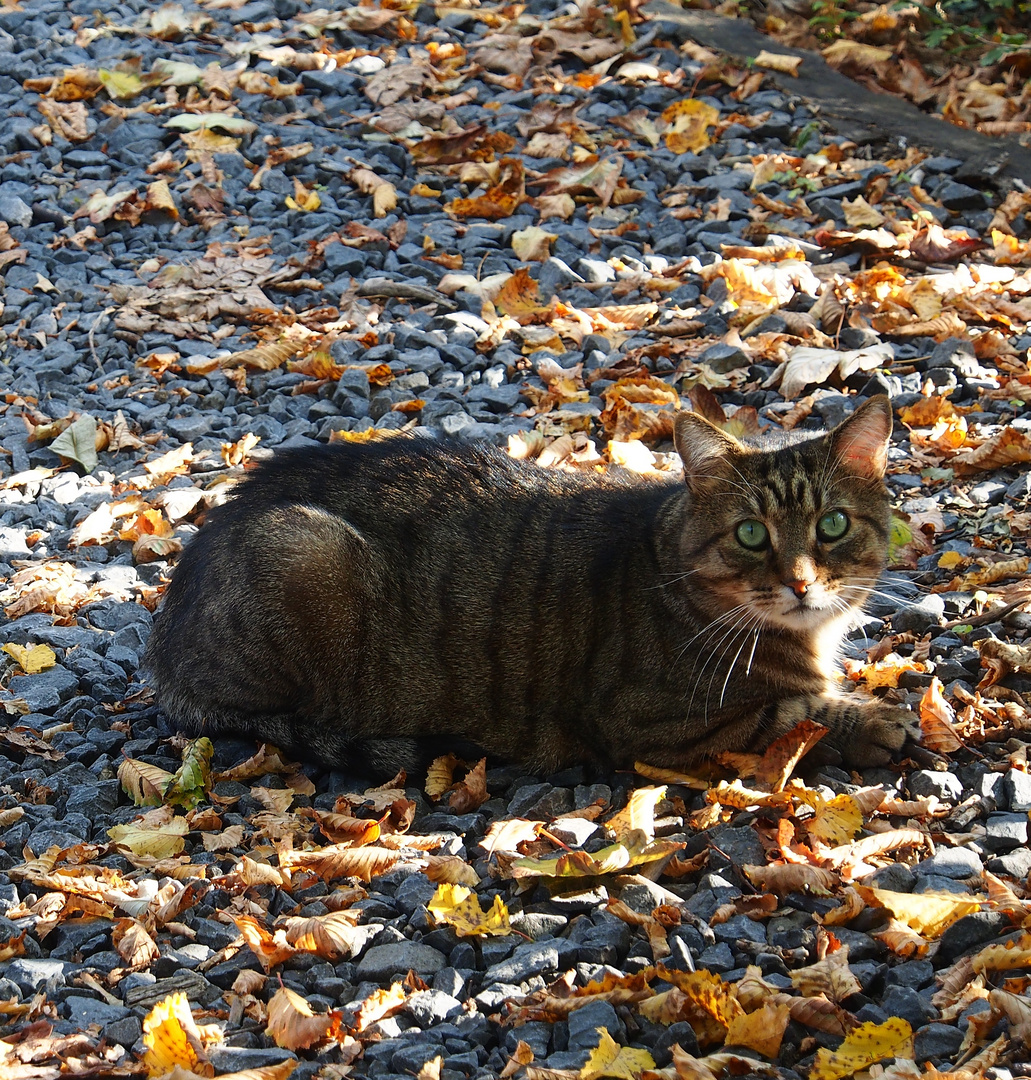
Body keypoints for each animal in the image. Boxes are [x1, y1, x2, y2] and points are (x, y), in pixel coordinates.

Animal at [143, 397, 919, 777]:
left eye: (832, 525)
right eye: (751, 534)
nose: (800, 582)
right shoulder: (652, 724)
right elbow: (788, 714)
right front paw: (875, 721)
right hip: (303, 549)